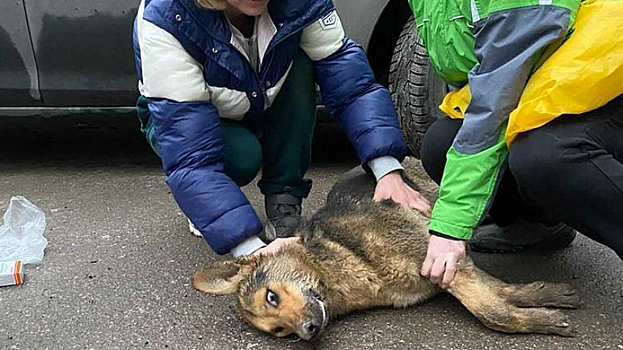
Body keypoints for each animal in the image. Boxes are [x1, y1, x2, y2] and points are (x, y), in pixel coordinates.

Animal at [194, 158, 580, 340]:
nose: (308, 332)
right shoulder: (452, 268)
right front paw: (546, 296)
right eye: (279, 331)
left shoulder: (444, 258)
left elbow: (492, 311)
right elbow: (500, 291)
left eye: (271, 297)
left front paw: (542, 319)